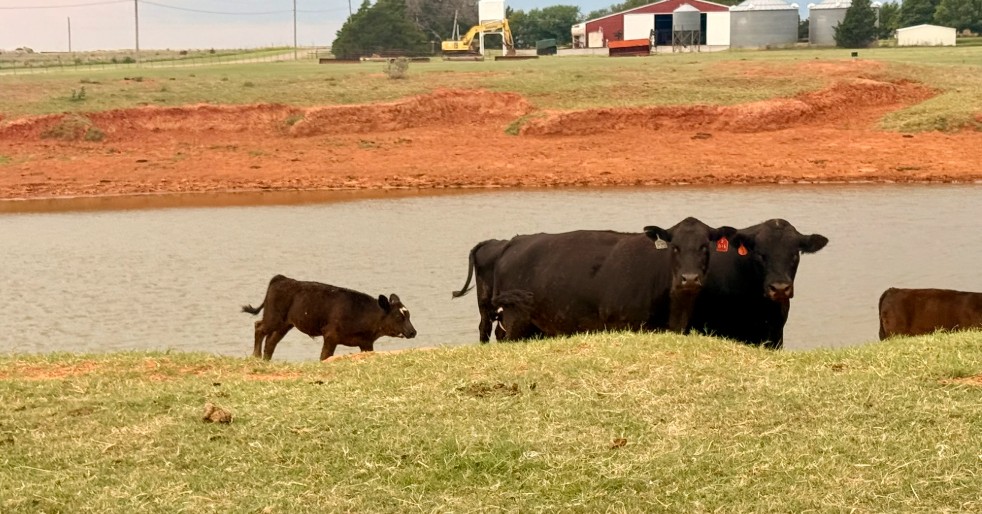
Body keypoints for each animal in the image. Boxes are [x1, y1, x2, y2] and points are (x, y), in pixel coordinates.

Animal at [242, 274, 417, 361]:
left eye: (408, 314)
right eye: (397, 316)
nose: (413, 332)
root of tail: (282, 278)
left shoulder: (366, 343)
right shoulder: (331, 336)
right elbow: (324, 356)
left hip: (285, 324)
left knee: (271, 341)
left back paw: (266, 360)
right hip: (273, 317)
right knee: (259, 327)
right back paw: (256, 356)